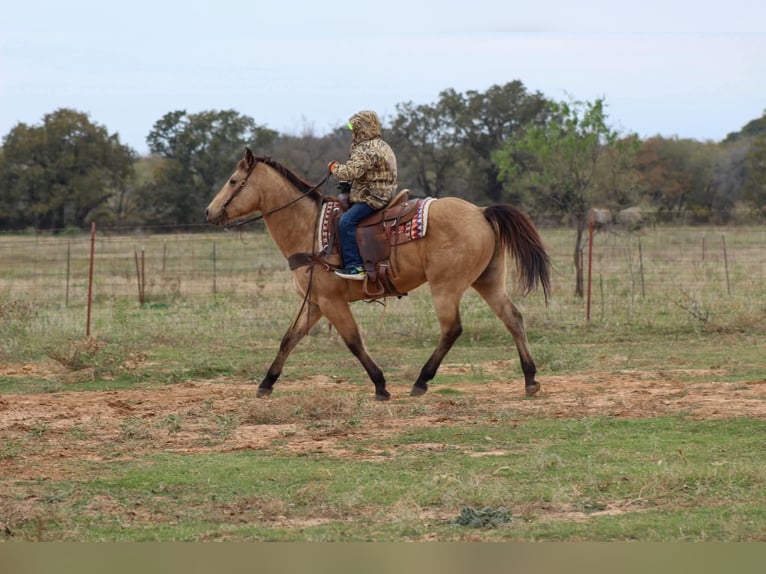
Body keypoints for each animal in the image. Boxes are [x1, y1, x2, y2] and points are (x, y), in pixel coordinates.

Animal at [204, 147, 552, 400]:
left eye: (233, 181)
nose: (209, 212)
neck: (308, 228)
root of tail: (481, 212)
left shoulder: (331, 302)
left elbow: (354, 341)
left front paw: (381, 385)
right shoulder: (315, 302)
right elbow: (289, 339)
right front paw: (266, 383)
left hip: (446, 286)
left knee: (452, 329)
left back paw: (421, 381)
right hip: (488, 281)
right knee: (513, 319)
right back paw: (530, 378)